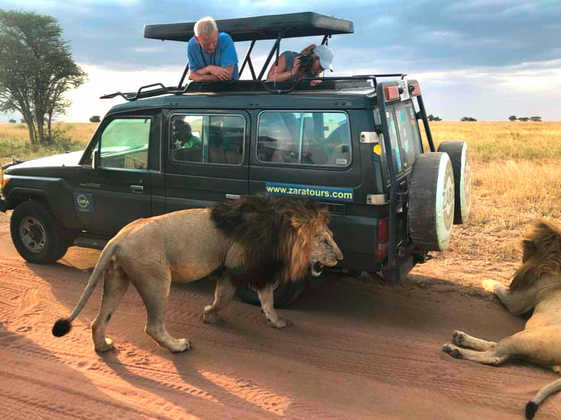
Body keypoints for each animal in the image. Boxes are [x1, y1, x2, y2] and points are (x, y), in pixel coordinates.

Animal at [52, 195, 342, 352]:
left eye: (331, 237)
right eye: (323, 240)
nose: (340, 258)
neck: (282, 226)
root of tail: (118, 238)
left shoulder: (230, 267)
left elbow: (227, 295)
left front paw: (210, 314)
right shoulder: (241, 262)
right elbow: (256, 297)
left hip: (117, 278)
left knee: (99, 320)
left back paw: (104, 346)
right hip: (157, 279)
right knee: (153, 325)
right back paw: (178, 346)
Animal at [442, 218, 560, 418]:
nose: (521, 262)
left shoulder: (517, 301)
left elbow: (499, 287)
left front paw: (486, 280)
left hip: (526, 338)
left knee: (495, 356)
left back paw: (455, 349)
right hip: (524, 340)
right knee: (494, 346)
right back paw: (460, 338)